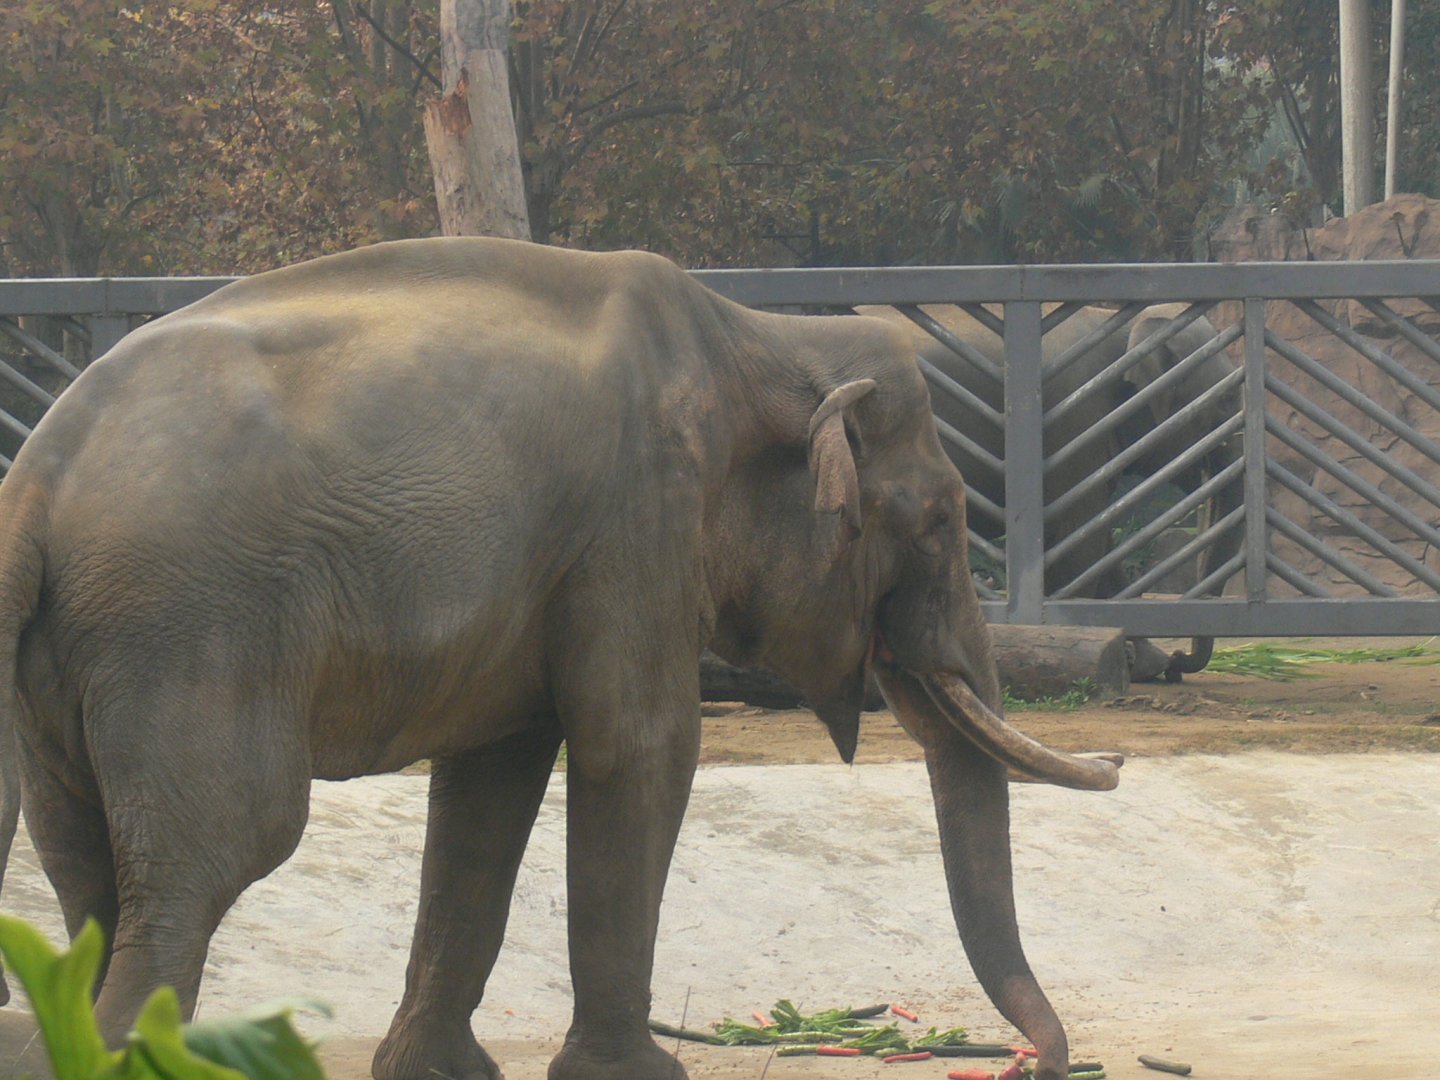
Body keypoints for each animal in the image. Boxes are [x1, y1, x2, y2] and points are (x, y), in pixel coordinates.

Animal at [0, 238, 1120, 1080]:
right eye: (937, 522)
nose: (1045, 1063)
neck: (755, 334)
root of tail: (33, 483)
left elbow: (490, 786)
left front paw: (441, 1073)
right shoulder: (636, 523)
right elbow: (642, 749)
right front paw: (638, 1075)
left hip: (71, 666)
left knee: (89, 873)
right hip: (190, 630)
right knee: (216, 853)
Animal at [859, 302, 1244, 678]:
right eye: (1225, 400)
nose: (1179, 659)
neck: (1119, 322)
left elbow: (1097, 542)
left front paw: (1145, 663)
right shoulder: (1076, 420)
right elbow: (1080, 543)